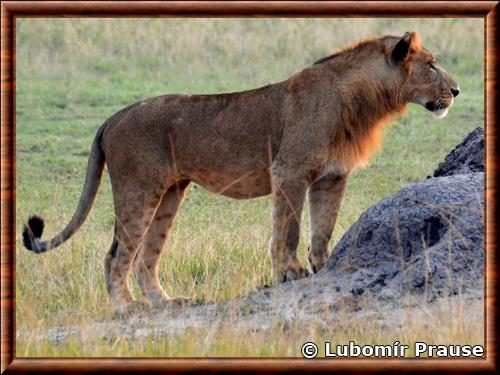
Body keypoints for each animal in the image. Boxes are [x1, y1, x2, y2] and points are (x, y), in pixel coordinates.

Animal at [24, 31, 460, 314]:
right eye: (432, 65)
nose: (456, 91)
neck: (365, 101)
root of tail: (110, 118)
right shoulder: (289, 171)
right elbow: (288, 229)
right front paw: (290, 274)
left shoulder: (332, 177)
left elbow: (322, 231)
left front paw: (322, 270)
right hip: (138, 189)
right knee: (115, 258)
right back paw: (127, 309)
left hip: (170, 194)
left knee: (146, 259)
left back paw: (167, 304)